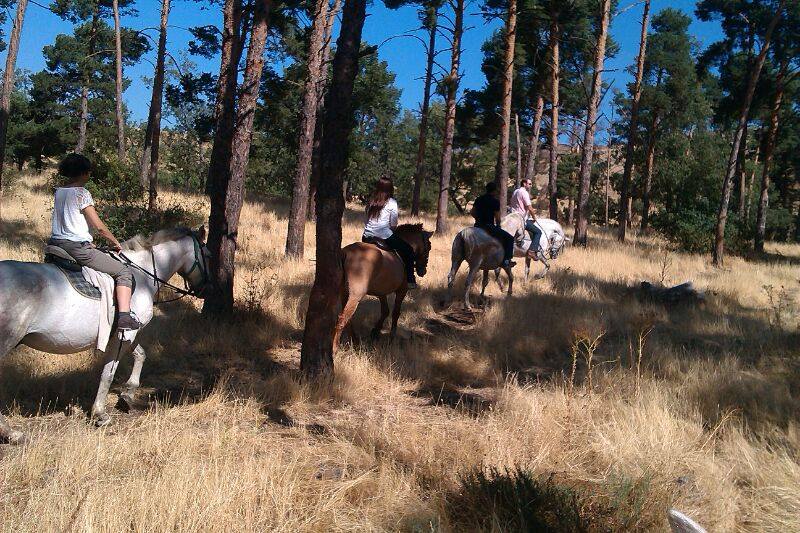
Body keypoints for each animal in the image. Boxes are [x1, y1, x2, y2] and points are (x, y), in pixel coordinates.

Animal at [0, 227, 210, 444]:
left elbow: (141, 355)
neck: (142, 274)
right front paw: (100, 413)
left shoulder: (128, 333)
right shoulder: (125, 335)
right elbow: (108, 373)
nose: (206, 290)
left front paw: (128, 394)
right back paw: (11, 433)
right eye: (209, 255)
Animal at [332, 224, 433, 354]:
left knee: (349, 318)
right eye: (429, 247)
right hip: (355, 295)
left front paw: (375, 332)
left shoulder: (381, 292)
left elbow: (385, 311)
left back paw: (355, 342)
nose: (423, 271)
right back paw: (335, 348)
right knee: (343, 318)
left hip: (344, 293)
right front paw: (392, 337)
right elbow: (395, 313)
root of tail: (347, 253)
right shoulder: (402, 291)